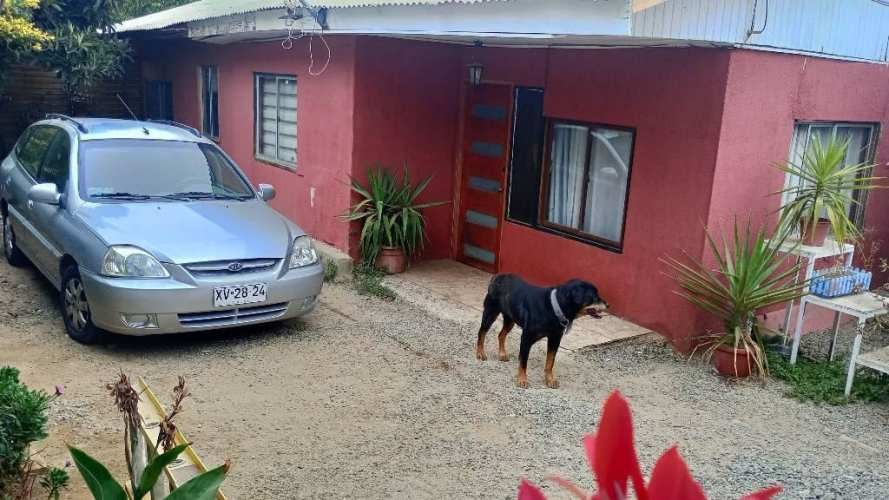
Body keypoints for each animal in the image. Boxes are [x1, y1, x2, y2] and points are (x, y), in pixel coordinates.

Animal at [476, 276, 608, 388]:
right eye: (594, 296)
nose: (608, 304)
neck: (554, 307)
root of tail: (498, 277)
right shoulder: (526, 338)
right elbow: (523, 362)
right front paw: (522, 380)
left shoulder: (555, 339)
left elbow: (550, 362)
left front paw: (550, 380)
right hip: (490, 313)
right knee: (481, 332)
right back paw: (480, 353)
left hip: (510, 319)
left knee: (501, 335)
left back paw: (502, 354)